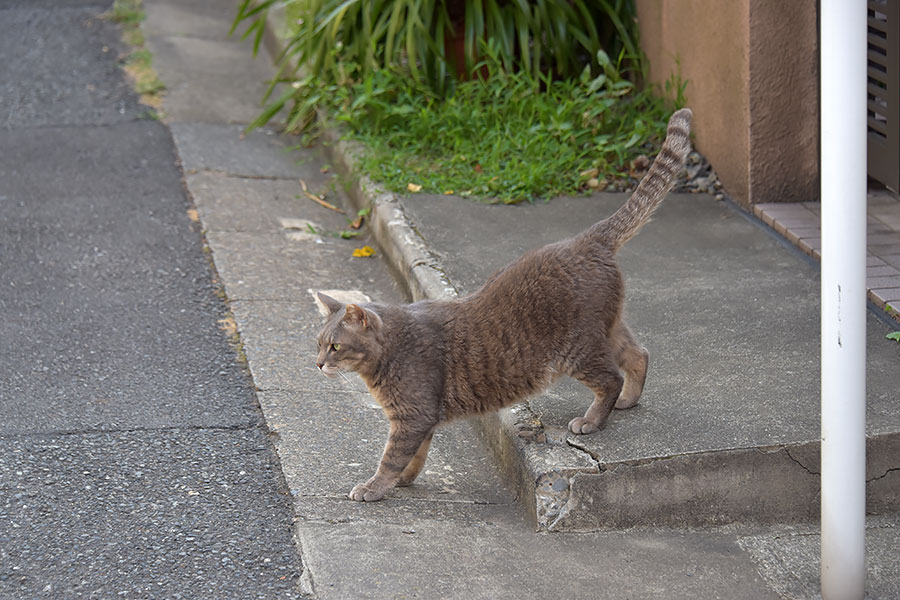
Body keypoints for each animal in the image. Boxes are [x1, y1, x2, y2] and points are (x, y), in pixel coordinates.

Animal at [312, 108, 692, 502]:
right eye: (319, 343)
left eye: (335, 346)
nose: (318, 363)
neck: (385, 358)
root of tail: (587, 239)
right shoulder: (421, 420)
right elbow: (415, 456)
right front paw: (404, 479)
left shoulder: (412, 417)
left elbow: (391, 458)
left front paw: (374, 487)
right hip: (607, 331)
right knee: (639, 354)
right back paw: (628, 400)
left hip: (579, 350)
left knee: (611, 377)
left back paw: (592, 419)